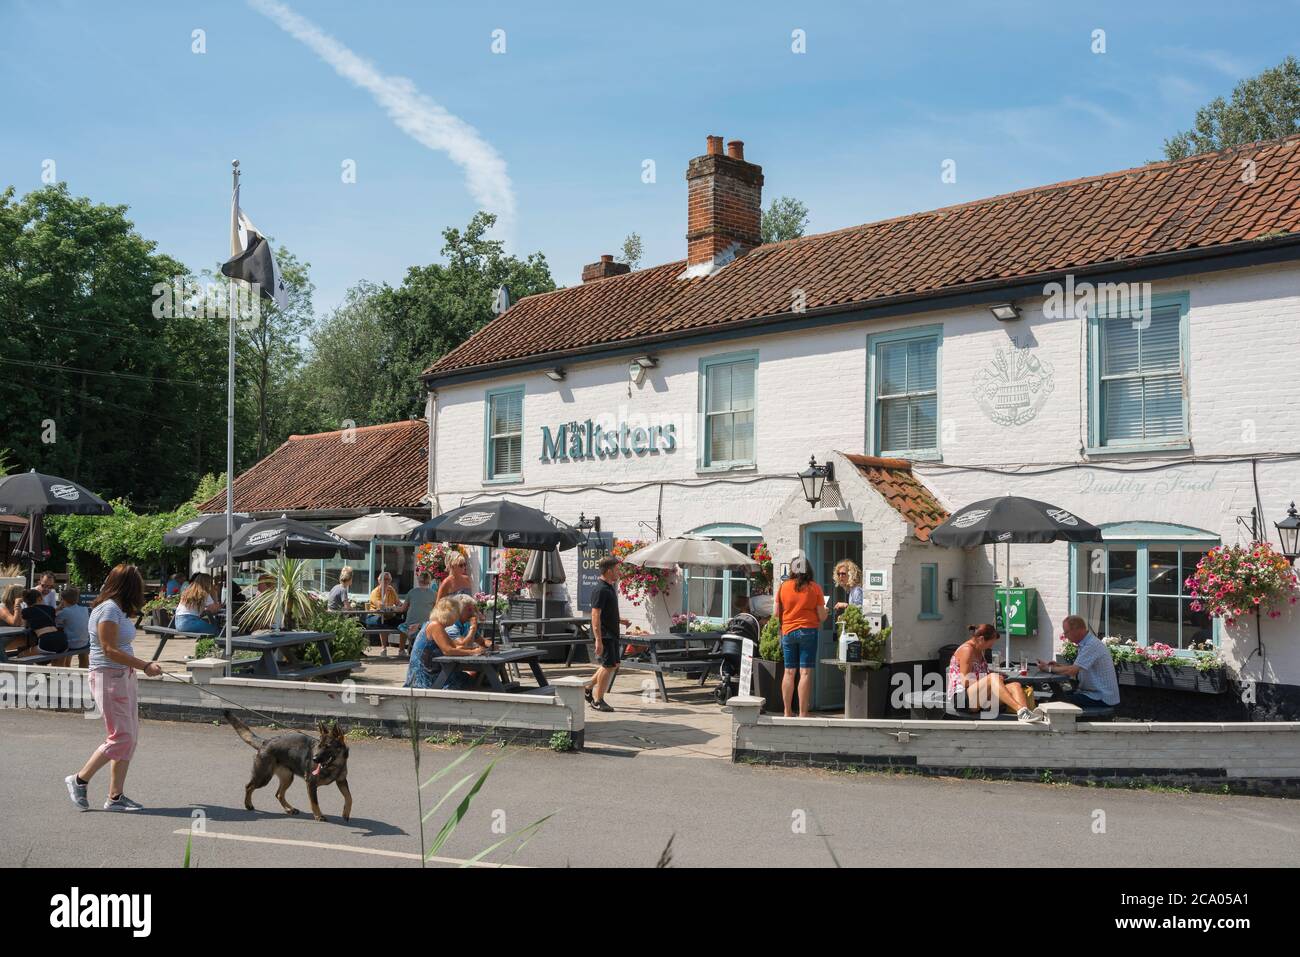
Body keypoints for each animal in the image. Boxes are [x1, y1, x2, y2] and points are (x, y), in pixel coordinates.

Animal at [224, 712, 353, 821]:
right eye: (319, 746)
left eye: (327, 747)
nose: (314, 759)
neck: (335, 765)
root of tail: (265, 742)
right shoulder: (311, 784)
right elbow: (314, 803)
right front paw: (318, 816)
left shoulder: (341, 781)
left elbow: (349, 797)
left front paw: (346, 813)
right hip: (264, 778)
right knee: (249, 786)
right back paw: (248, 805)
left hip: (288, 778)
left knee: (278, 794)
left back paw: (289, 809)